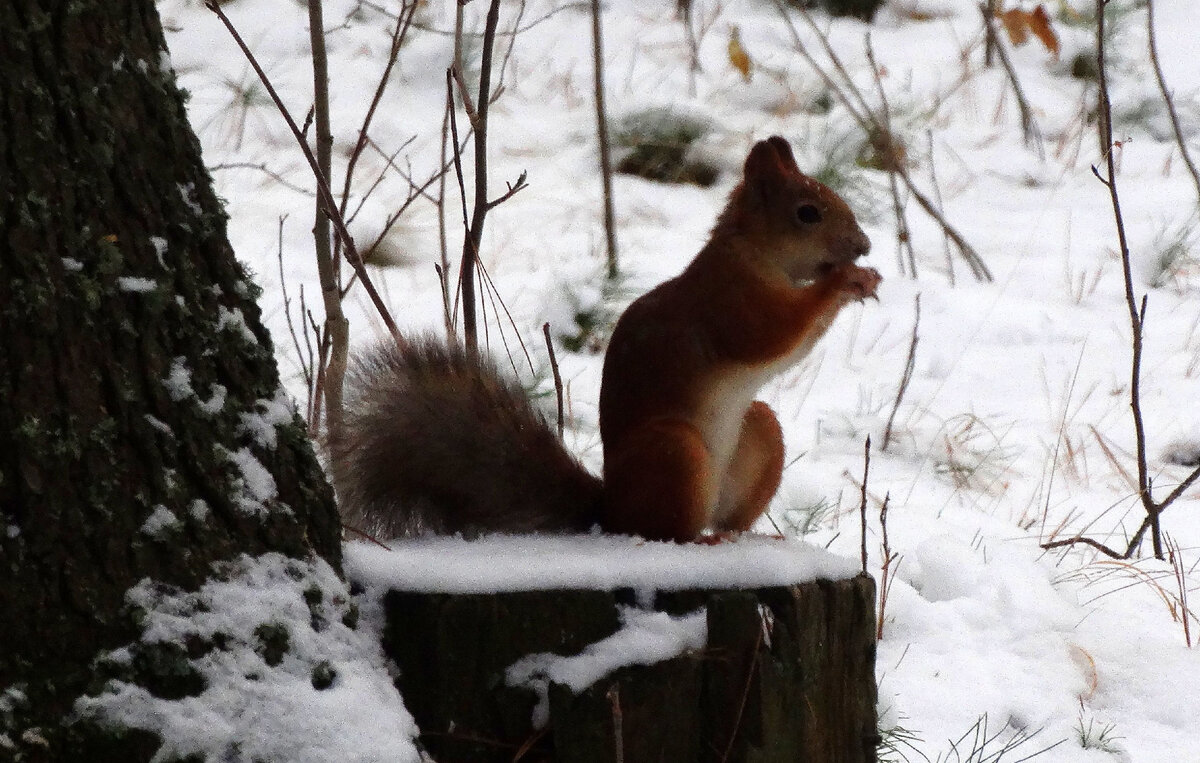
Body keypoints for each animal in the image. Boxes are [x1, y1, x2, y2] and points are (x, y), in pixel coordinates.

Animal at [331, 137, 883, 542]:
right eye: (808, 212)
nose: (864, 245)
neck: (754, 255)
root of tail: (610, 509)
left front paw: (864, 279)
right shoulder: (730, 304)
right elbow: (773, 336)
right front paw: (843, 281)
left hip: (758, 434)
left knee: (728, 510)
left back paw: (745, 536)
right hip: (674, 451)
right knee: (664, 531)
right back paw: (700, 540)